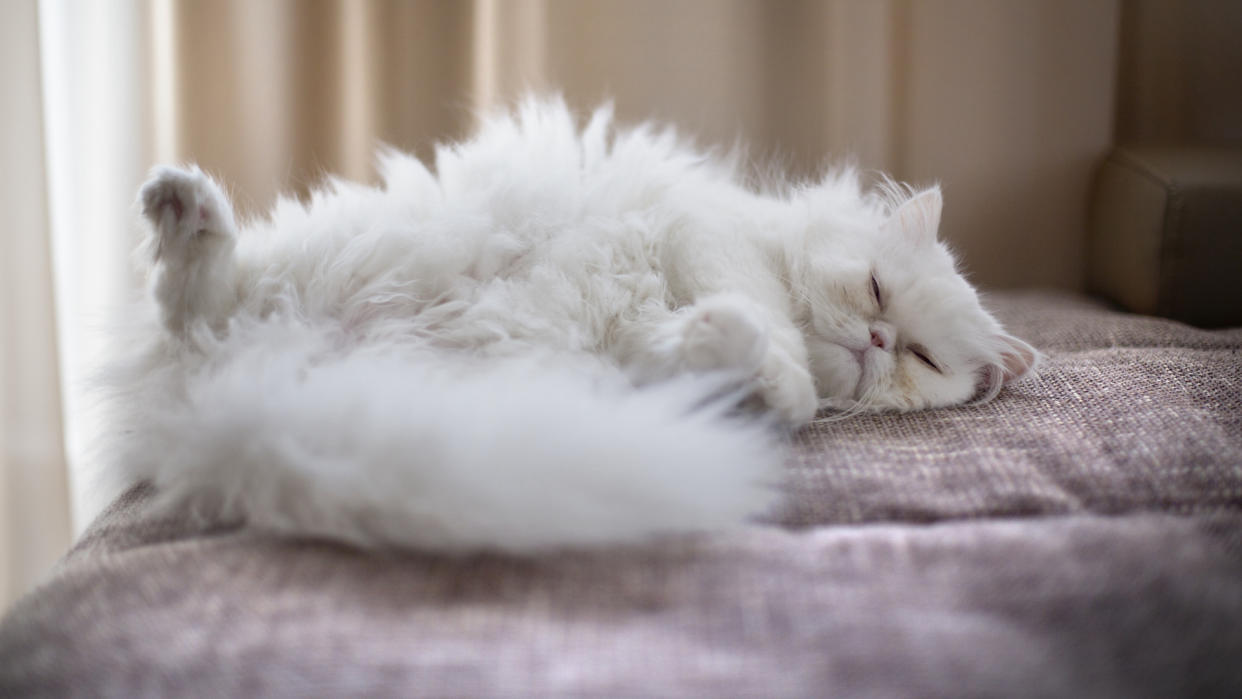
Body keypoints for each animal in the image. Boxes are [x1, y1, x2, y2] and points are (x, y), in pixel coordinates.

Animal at [99, 99, 1038, 553]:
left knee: (194, 310)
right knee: (194, 299)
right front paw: (782, 373)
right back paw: (182, 203)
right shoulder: (714, 234)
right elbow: (765, 316)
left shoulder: (639, 336)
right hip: (335, 256)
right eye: (877, 292)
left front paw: (741, 360)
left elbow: (702, 342)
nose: (878, 343)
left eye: (922, 358)